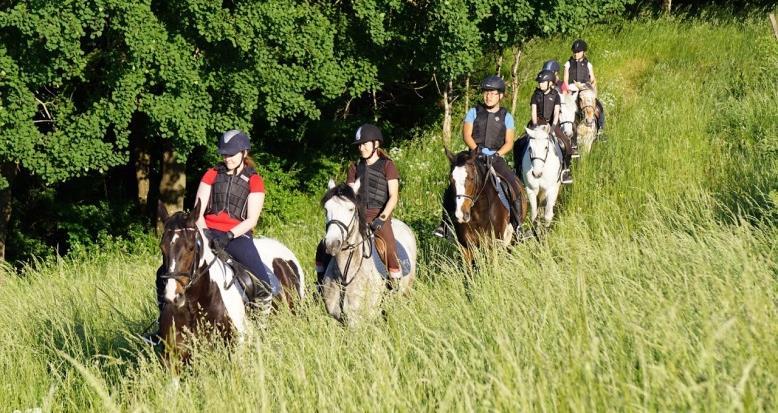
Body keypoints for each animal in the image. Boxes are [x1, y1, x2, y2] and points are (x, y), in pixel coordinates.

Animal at [155, 199, 304, 358]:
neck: (195, 305)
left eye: (190, 248)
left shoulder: (236, 350)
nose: (173, 296)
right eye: (162, 248)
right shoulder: (172, 357)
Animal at [318, 180, 416, 326]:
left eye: (351, 209)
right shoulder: (334, 319)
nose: (332, 244)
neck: (345, 274)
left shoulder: (358, 321)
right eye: (326, 209)